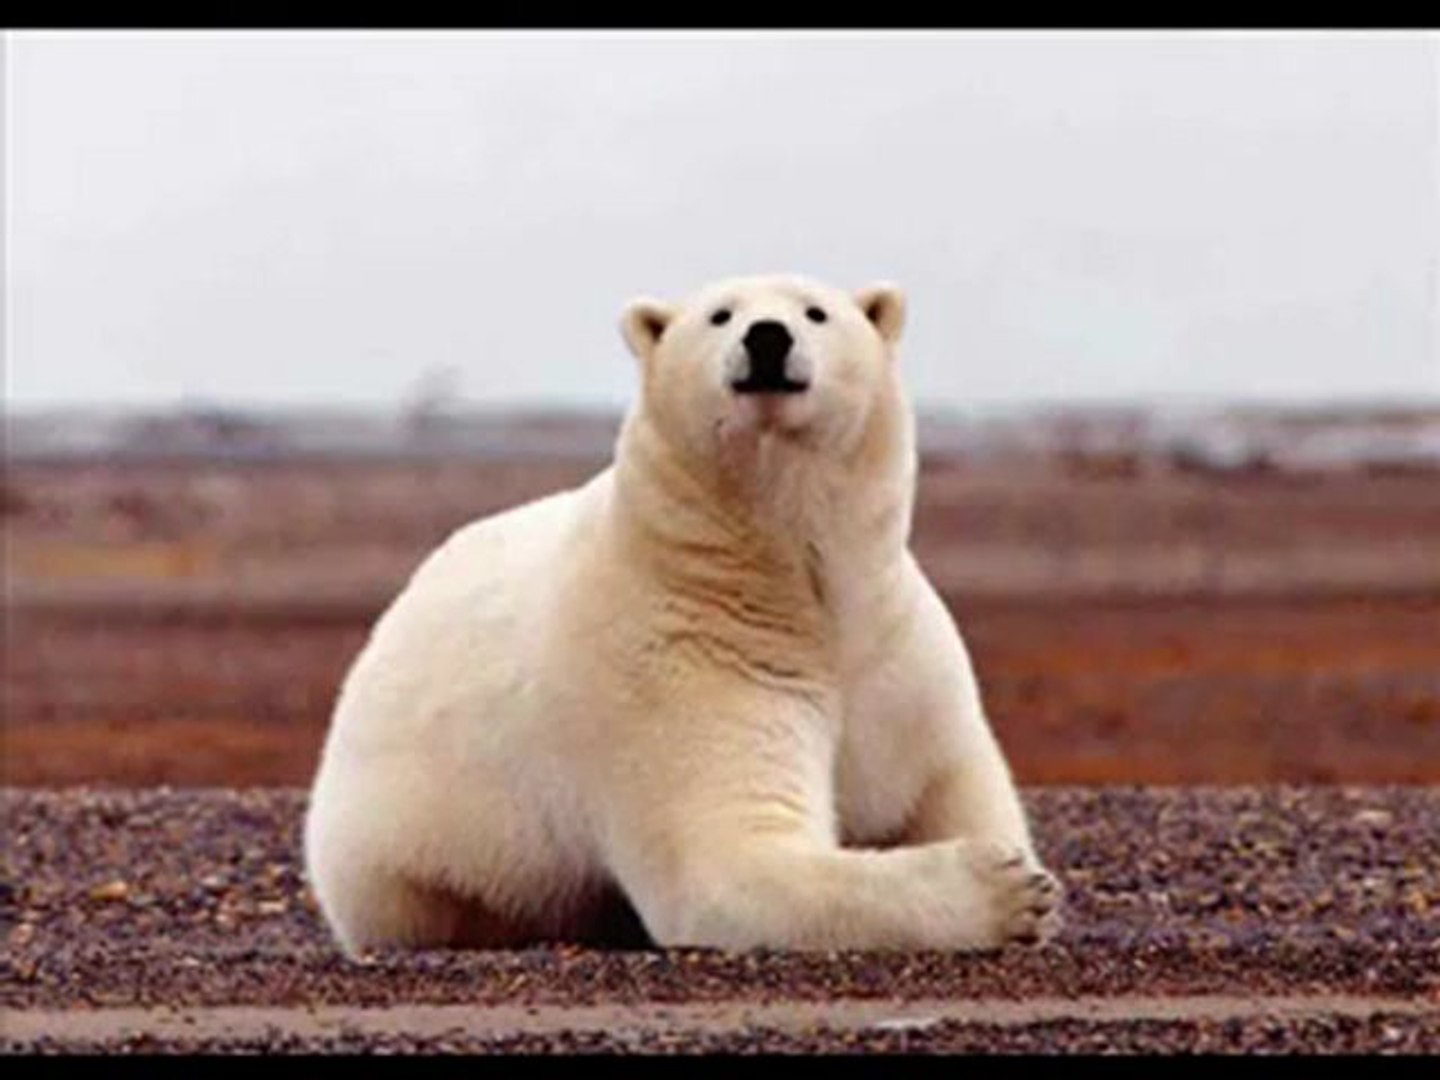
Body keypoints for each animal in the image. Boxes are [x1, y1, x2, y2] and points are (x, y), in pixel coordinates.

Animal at [302, 274, 1062, 955]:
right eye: (719, 314)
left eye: (815, 311)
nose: (766, 336)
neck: (789, 577)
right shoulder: (684, 655)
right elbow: (728, 859)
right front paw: (1005, 891)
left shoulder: (896, 652)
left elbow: (949, 778)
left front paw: (1028, 875)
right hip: (414, 841)